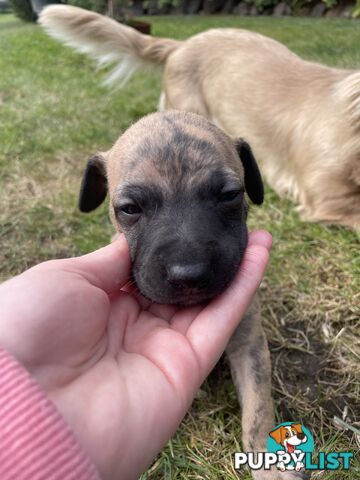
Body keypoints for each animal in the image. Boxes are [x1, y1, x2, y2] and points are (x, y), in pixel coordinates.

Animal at [76, 109, 306, 480]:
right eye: (129, 208)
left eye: (229, 195)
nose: (189, 275)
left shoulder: (249, 340)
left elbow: (258, 406)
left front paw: (269, 463)